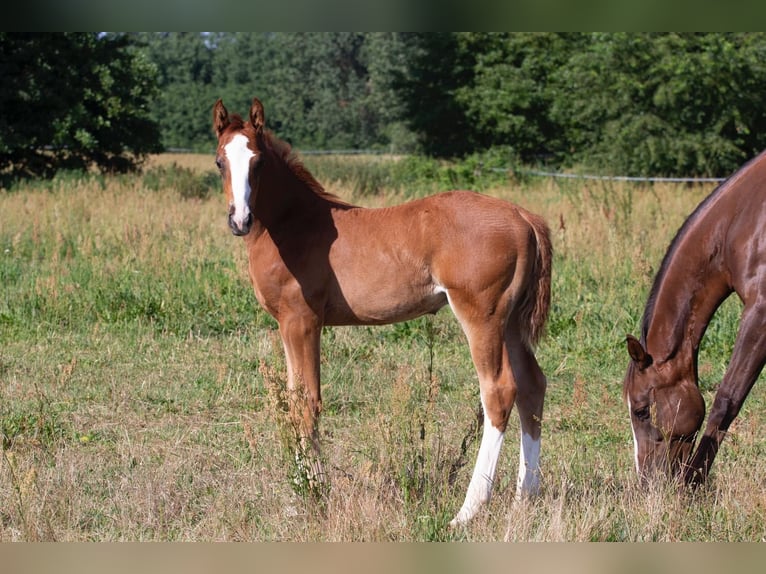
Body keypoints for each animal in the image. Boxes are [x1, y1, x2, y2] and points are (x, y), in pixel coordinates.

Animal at [213, 98, 556, 528]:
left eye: (257, 161)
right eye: (219, 162)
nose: (239, 220)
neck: (294, 225)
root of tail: (524, 216)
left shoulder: (302, 321)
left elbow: (307, 403)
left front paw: (315, 497)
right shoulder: (288, 324)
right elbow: (294, 401)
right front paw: (301, 494)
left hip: (483, 315)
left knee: (499, 390)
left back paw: (466, 511)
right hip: (511, 323)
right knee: (532, 386)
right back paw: (524, 498)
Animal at [624, 148, 766, 486]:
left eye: (641, 411)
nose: (647, 482)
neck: (741, 220)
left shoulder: (759, 311)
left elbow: (727, 399)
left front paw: (695, 481)